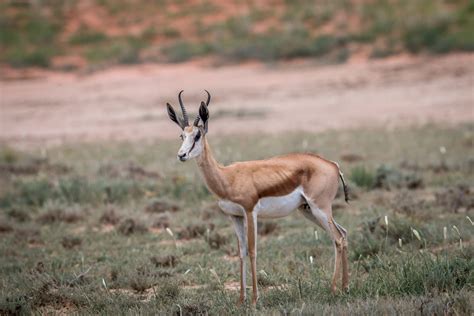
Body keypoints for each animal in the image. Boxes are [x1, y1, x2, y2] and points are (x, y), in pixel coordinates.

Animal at [166, 90, 348, 304]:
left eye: (197, 135)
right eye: (181, 135)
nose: (182, 155)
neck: (227, 177)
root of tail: (333, 165)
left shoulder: (250, 211)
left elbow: (252, 250)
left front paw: (254, 299)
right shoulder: (234, 216)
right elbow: (241, 252)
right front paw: (241, 299)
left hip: (320, 208)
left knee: (337, 238)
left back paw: (334, 289)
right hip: (308, 211)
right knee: (344, 233)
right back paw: (345, 287)